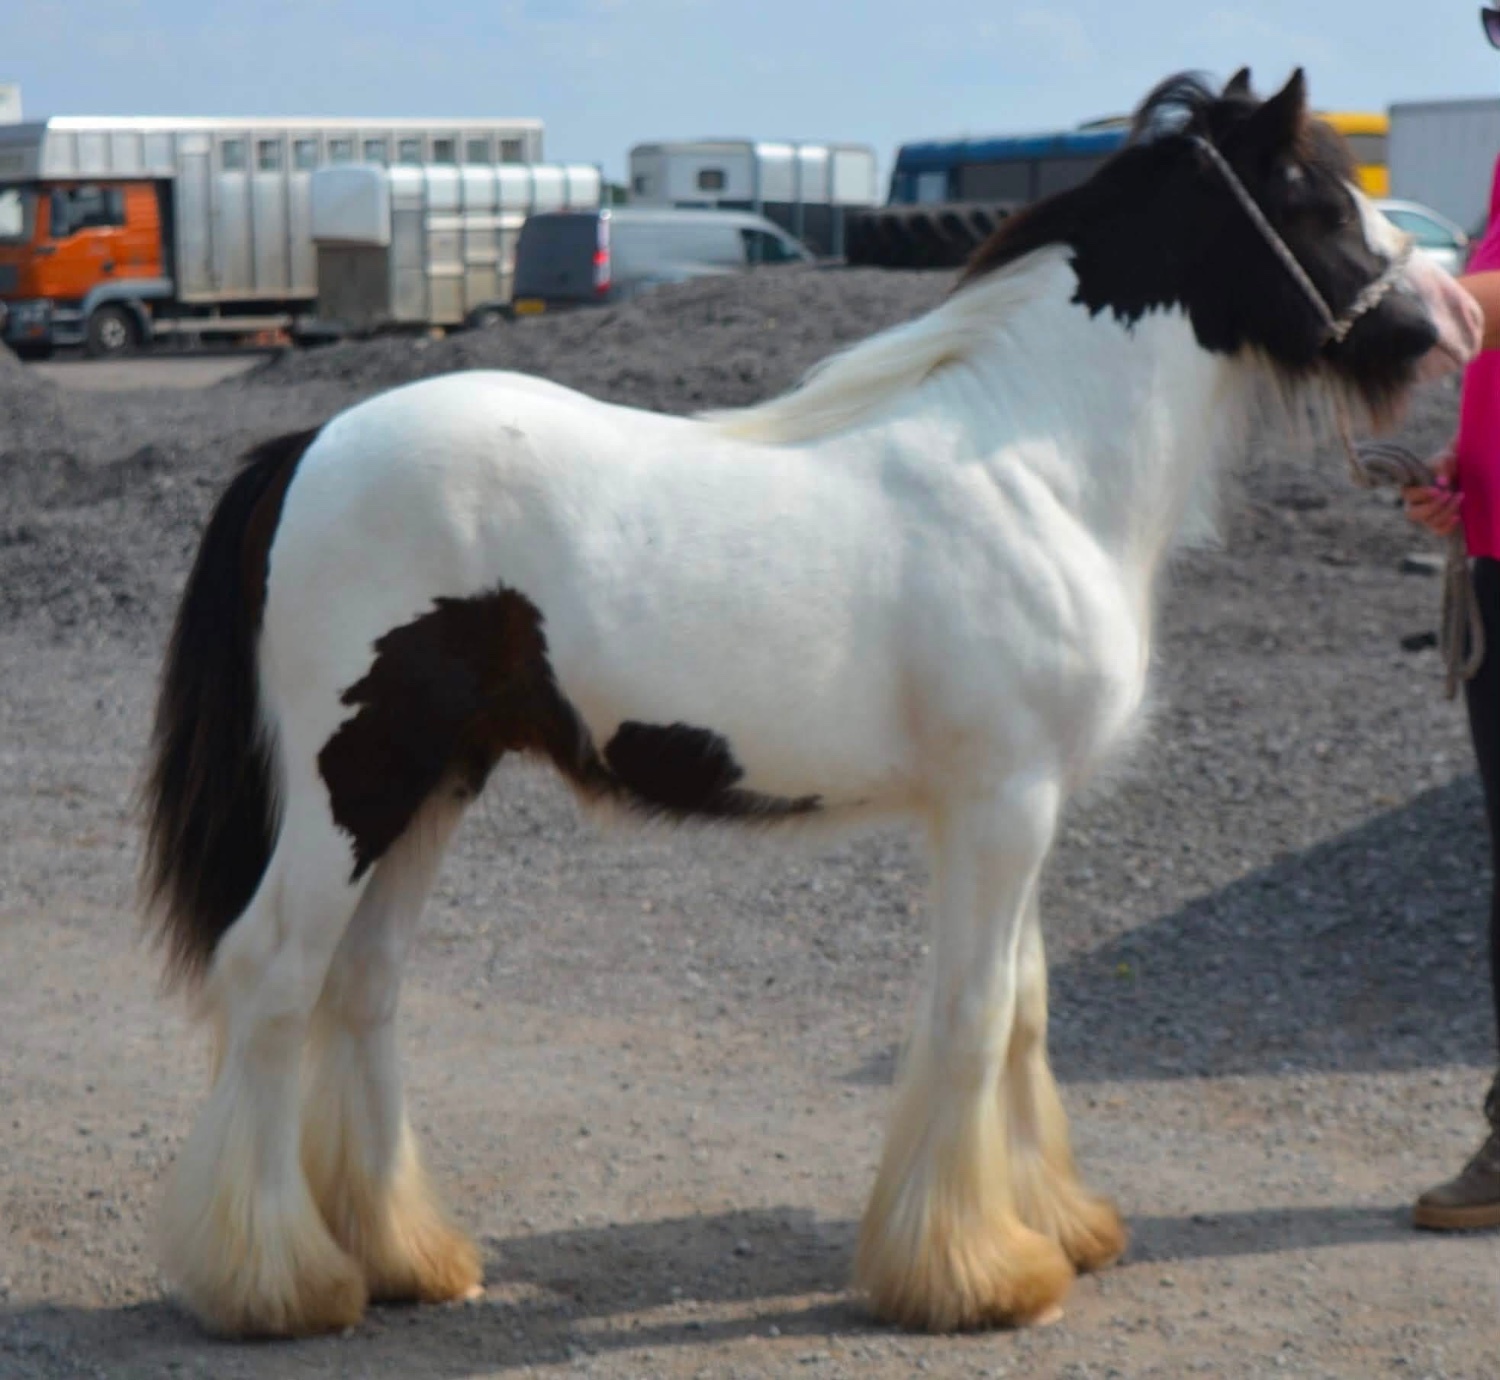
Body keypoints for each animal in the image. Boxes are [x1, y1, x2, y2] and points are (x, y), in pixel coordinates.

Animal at [139, 68, 1481, 1338]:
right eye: (1318, 199)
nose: (1451, 320)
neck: (1036, 463)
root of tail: (307, 446)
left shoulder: (1017, 810)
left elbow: (1026, 1010)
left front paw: (1056, 1225)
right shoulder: (1002, 806)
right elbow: (974, 1016)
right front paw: (975, 1274)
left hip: (436, 784)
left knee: (361, 989)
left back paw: (402, 1259)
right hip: (356, 783)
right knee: (272, 975)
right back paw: (277, 1286)